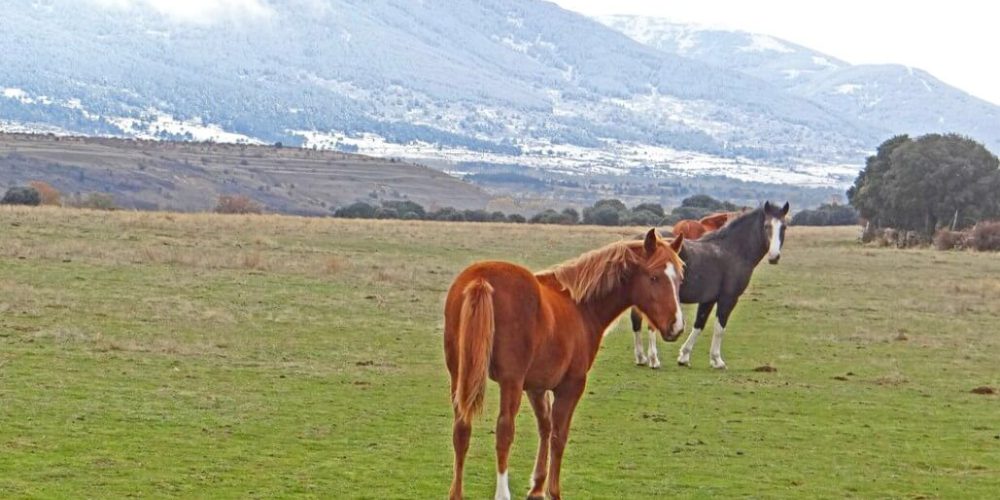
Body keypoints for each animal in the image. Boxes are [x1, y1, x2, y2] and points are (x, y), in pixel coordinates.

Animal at [444, 230, 684, 500]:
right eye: (654, 277)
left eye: (679, 279)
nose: (676, 326)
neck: (580, 306)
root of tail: (481, 279)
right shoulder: (571, 386)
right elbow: (559, 436)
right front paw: (553, 491)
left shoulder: (536, 387)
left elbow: (545, 427)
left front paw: (537, 487)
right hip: (510, 382)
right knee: (504, 431)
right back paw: (503, 492)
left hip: (460, 376)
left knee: (461, 430)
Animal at [632, 201, 788, 370]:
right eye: (766, 226)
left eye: (784, 227)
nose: (774, 257)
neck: (732, 250)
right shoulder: (728, 298)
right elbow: (720, 327)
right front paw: (717, 360)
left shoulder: (708, 299)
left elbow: (699, 324)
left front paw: (684, 357)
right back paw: (653, 359)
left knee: (636, 322)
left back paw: (641, 357)